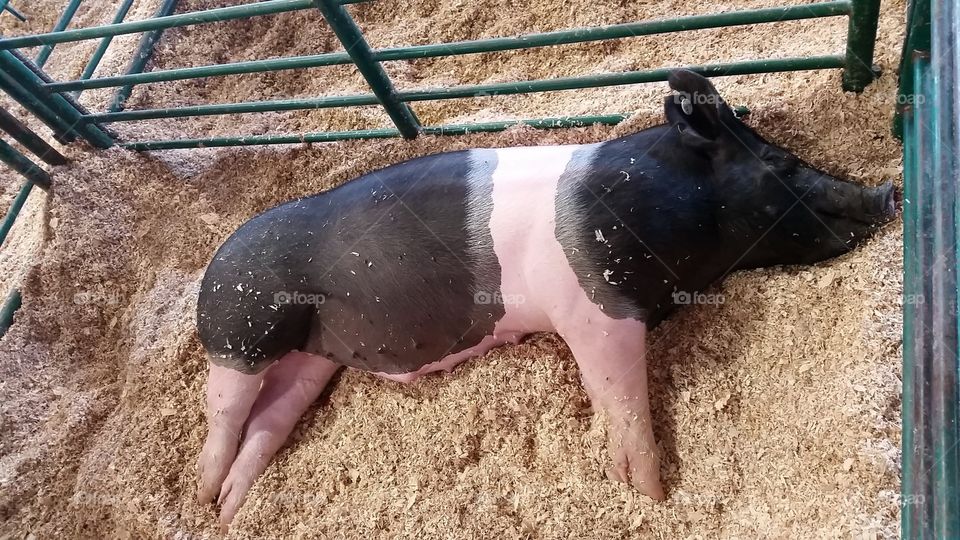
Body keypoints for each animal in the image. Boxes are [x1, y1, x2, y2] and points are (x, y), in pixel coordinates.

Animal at [195, 70, 896, 527]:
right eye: (780, 165)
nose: (888, 192)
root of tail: (212, 267)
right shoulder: (594, 310)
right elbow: (622, 401)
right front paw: (648, 495)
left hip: (312, 358)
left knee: (274, 415)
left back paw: (228, 507)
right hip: (241, 330)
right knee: (227, 412)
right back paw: (203, 496)